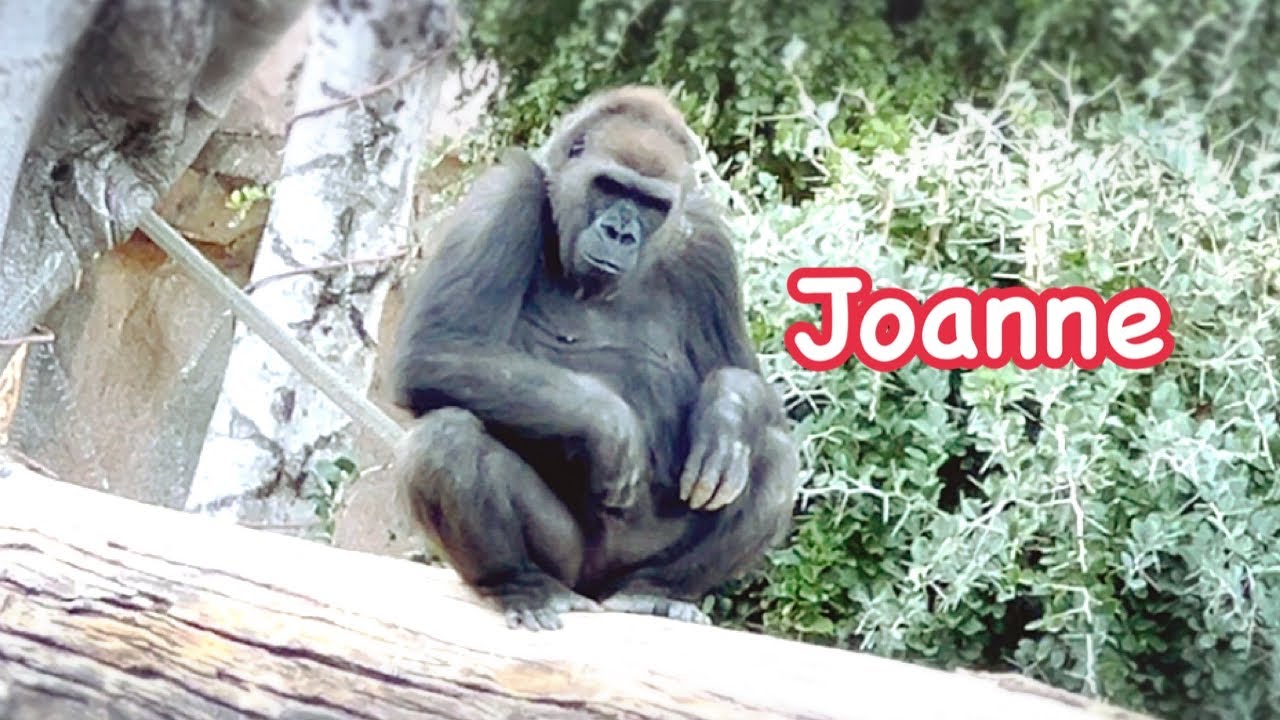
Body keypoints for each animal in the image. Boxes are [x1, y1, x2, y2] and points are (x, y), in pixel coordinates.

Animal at [389, 85, 800, 630]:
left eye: (651, 204)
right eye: (610, 186)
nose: (621, 234)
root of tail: (596, 587)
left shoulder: (708, 243)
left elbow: (749, 382)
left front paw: (727, 411)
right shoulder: (506, 194)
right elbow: (433, 349)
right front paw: (608, 424)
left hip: (631, 564)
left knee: (774, 457)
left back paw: (658, 590)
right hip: (569, 562)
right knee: (444, 439)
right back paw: (522, 585)